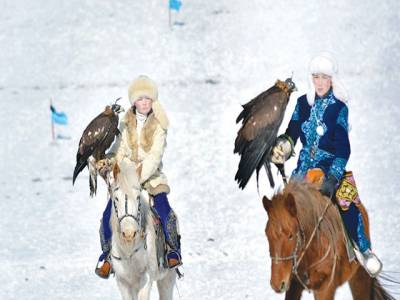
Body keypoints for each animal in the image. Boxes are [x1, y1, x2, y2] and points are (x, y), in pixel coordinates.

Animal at [108, 158, 176, 298]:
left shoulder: (146, 280)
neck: (129, 252)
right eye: (116, 199)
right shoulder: (123, 283)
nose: (129, 233)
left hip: (167, 278)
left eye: (138, 198)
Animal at [260, 179, 396, 298]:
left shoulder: (325, 289)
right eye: (267, 234)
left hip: (360, 277)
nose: (277, 284)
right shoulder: (294, 286)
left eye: (290, 235)